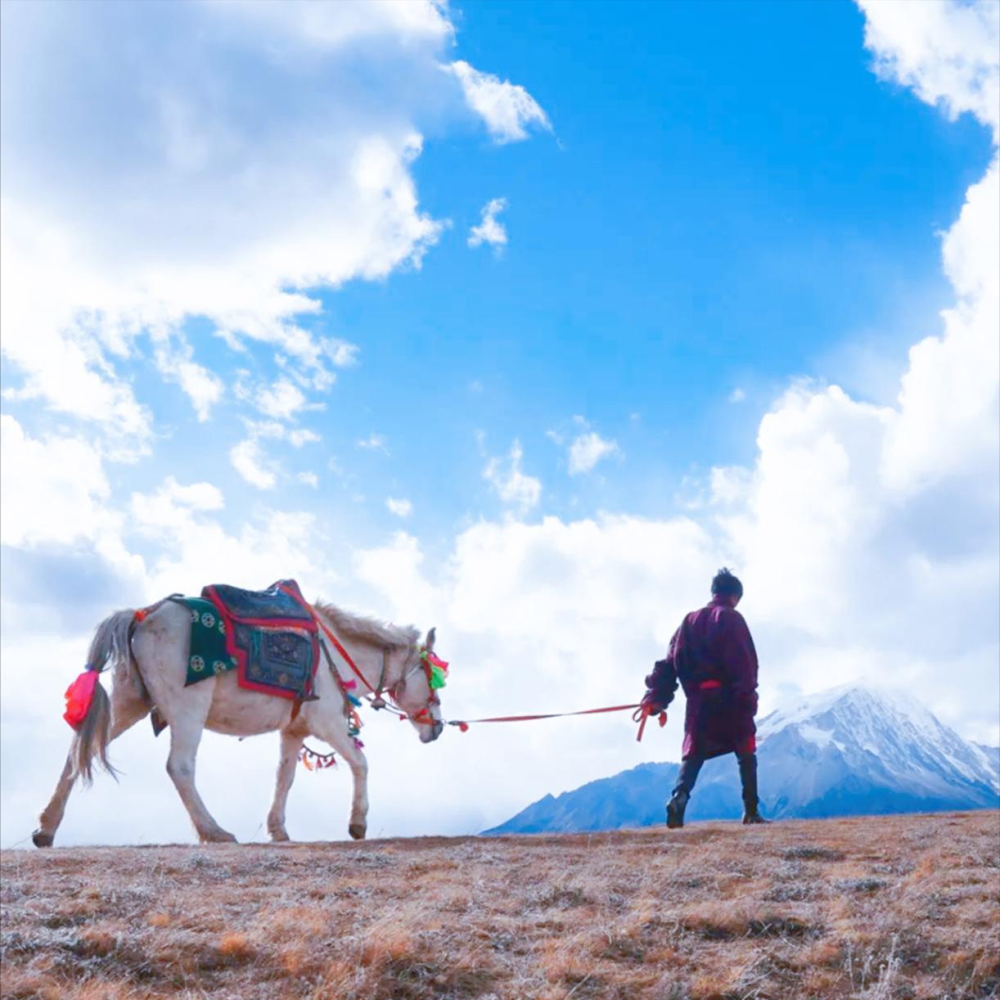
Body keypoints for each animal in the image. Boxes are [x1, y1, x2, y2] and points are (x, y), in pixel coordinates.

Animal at [33, 596, 444, 848]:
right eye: (434, 677)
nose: (438, 727)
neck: (337, 655)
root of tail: (142, 615)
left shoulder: (293, 731)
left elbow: (284, 779)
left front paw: (278, 829)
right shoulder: (327, 722)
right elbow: (360, 763)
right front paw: (357, 823)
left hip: (129, 702)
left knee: (80, 750)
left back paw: (46, 828)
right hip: (187, 709)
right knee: (179, 767)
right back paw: (214, 831)